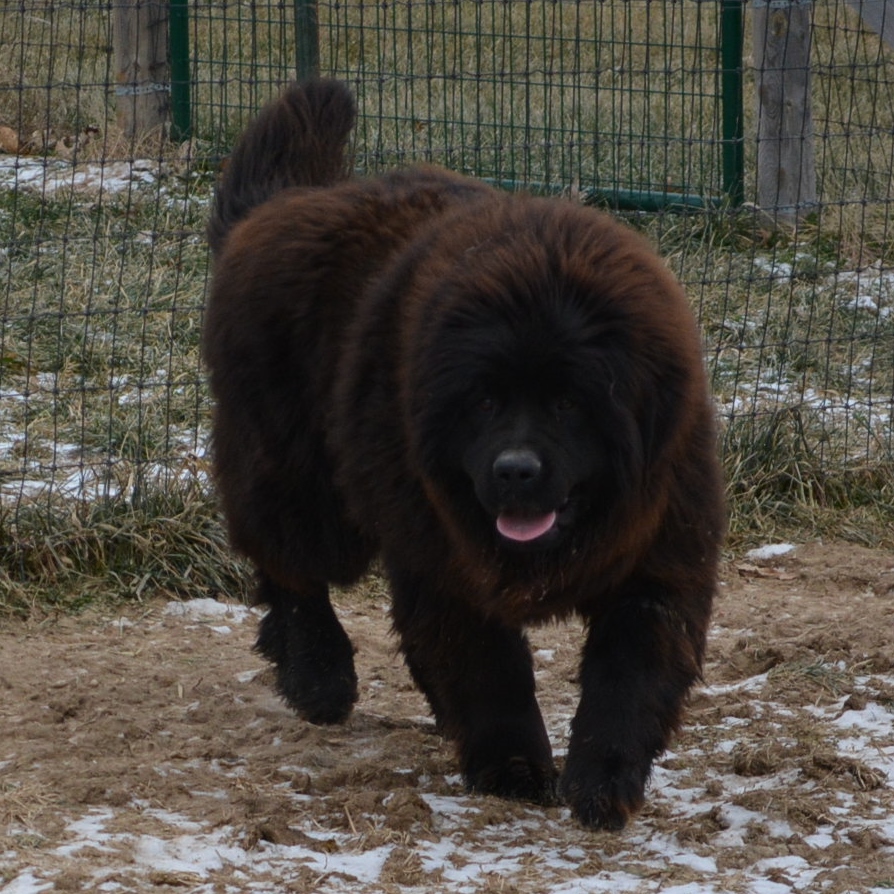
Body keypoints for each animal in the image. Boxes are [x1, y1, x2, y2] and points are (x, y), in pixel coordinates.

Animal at [203, 80, 728, 828]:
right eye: (482, 402)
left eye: (569, 403)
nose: (514, 470)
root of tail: (279, 208)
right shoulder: (444, 562)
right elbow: (488, 670)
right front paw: (513, 767)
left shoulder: (658, 555)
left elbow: (627, 679)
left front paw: (603, 783)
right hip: (303, 482)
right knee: (291, 568)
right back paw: (318, 676)